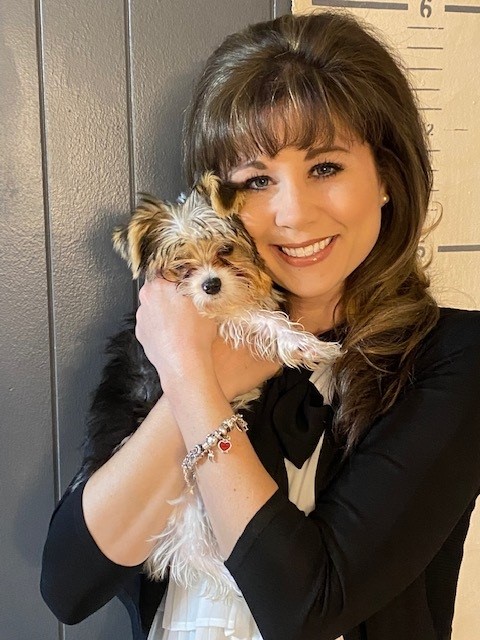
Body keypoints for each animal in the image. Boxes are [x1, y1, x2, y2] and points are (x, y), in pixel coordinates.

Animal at [72, 172, 342, 604]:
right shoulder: (219, 319)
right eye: (181, 266)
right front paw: (306, 345)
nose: (212, 284)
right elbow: (257, 319)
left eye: (226, 249)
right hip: (186, 502)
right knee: (192, 550)